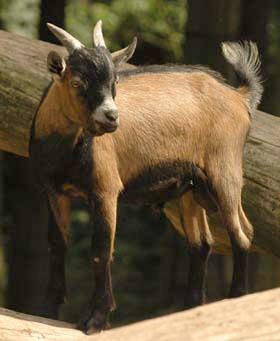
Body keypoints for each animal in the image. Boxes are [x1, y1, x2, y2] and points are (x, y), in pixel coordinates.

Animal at [30, 22, 262, 334]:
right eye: (77, 82)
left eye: (114, 81)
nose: (111, 117)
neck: (66, 149)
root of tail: (238, 96)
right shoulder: (54, 191)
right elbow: (57, 243)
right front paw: (48, 309)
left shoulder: (105, 190)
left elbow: (101, 250)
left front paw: (95, 320)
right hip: (191, 189)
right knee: (202, 243)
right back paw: (189, 309)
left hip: (225, 171)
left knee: (241, 233)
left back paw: (234, 300)